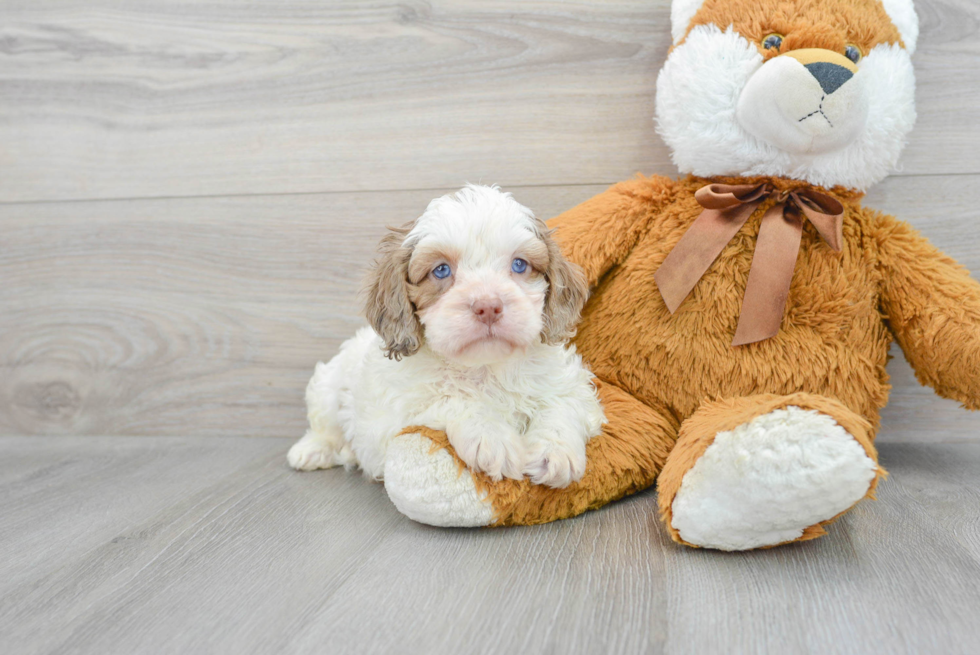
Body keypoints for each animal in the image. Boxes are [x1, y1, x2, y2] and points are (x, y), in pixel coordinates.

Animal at [286, 183, 604, 486]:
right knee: (325, 425)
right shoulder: (396, 416)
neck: (485, 367)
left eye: (519, 264)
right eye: (441, 270)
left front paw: (556, 452)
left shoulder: (570, 384)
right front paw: (493, 437)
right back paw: (311, 450)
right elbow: (451, 398)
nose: (488, 306)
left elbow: (562, 403)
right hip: (328, 386)